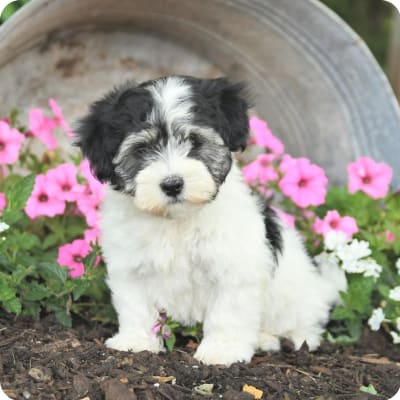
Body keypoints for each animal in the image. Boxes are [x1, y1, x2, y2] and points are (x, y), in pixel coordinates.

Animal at [76, 75, 346, 366]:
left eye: (195, 141)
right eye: (142, 149)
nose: (172, 184)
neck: (176, 220)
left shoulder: (234, 268)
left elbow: (228, 312)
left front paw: (222, 351)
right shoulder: (130, 267)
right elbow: (136, 306)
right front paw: (135, 341)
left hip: (296, 297)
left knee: (306, 324)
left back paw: (281, 338)